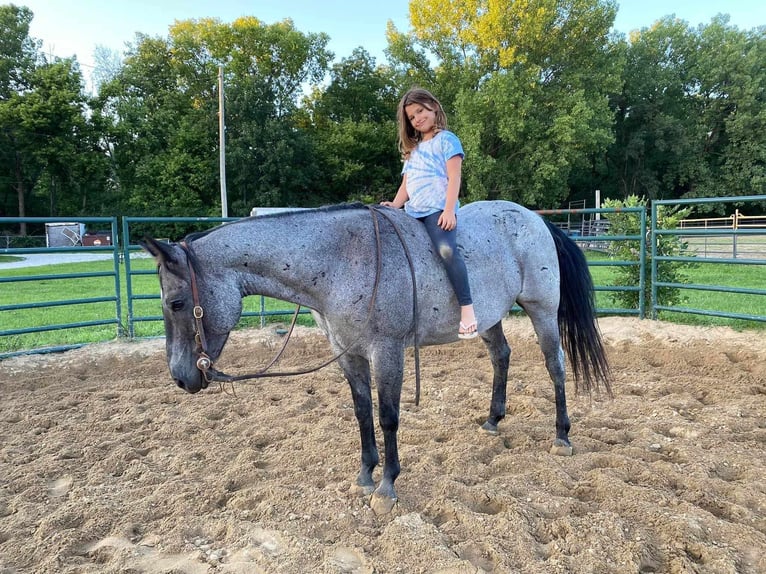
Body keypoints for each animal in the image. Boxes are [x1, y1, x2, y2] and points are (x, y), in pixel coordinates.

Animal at [141, 200, 612, 516]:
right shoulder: (347, 354)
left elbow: (388, 416)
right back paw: (493, 420)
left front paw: (387, 485)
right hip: (489, 317)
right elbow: (362, 411)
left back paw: (562, 435)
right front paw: (366, 474)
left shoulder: (386, 351)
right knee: (502, 357)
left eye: (177, 303)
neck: (343, 259)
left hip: (542, 309)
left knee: (555, 366)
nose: (181, 377)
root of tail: (536, 219)